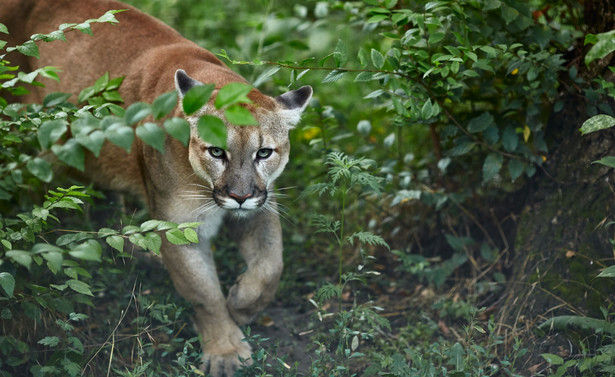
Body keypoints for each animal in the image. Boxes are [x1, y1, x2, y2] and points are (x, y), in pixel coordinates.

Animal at [1, 1, 312, 374]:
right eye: (216, 152)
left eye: (264, 152)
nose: (239, 196)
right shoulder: (179, 225)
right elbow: (203, 293)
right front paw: (224, 350)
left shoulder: (259, 206)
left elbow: (270, 265)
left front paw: (241, 304)